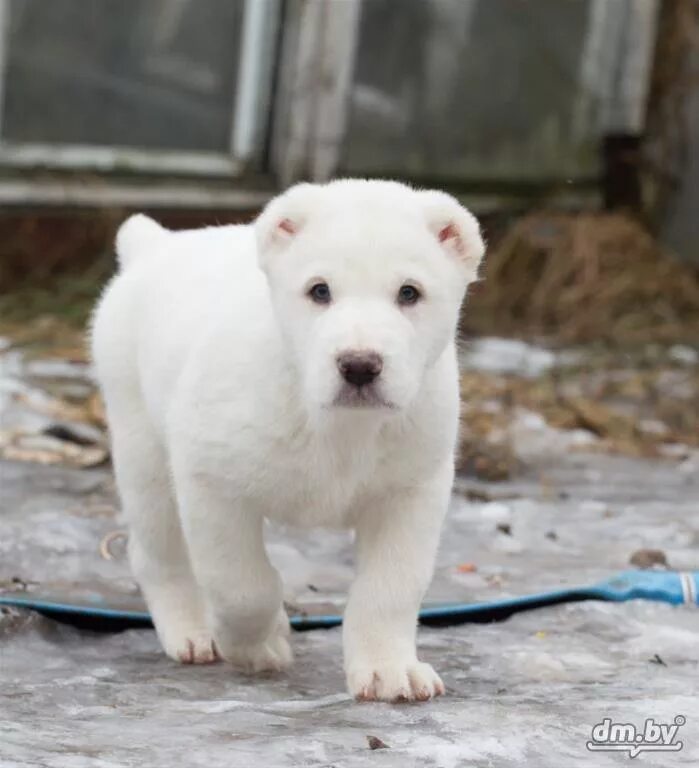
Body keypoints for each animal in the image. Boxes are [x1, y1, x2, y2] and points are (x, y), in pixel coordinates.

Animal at [91, 180, 486, 704]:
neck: (338, 425)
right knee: (160, 551)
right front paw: (258, 645)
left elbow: (392, 586)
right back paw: (191, 631)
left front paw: (389, 669)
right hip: (141, 444)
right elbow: (241, 584)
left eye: (409, 293)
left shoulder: (411, 491)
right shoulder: (211, 482)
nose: (359, 365)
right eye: (319, 290)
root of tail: (155, 245)